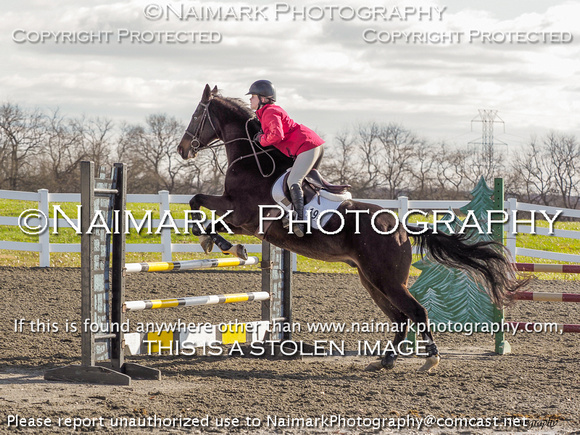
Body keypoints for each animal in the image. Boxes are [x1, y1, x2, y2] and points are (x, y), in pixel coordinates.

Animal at [177, 86, 524, 374]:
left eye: (195, 115)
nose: (182, 150)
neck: (252, 158)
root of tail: (400, 226)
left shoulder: (244, 216)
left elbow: (202, 207)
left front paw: (220, 244)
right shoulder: (242, 216)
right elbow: (197, 201)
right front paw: (218, 243)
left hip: (386, 279)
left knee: (417, 312)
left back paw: (430, 359)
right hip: (371, 279)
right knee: (401, 318)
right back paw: (385, 360)